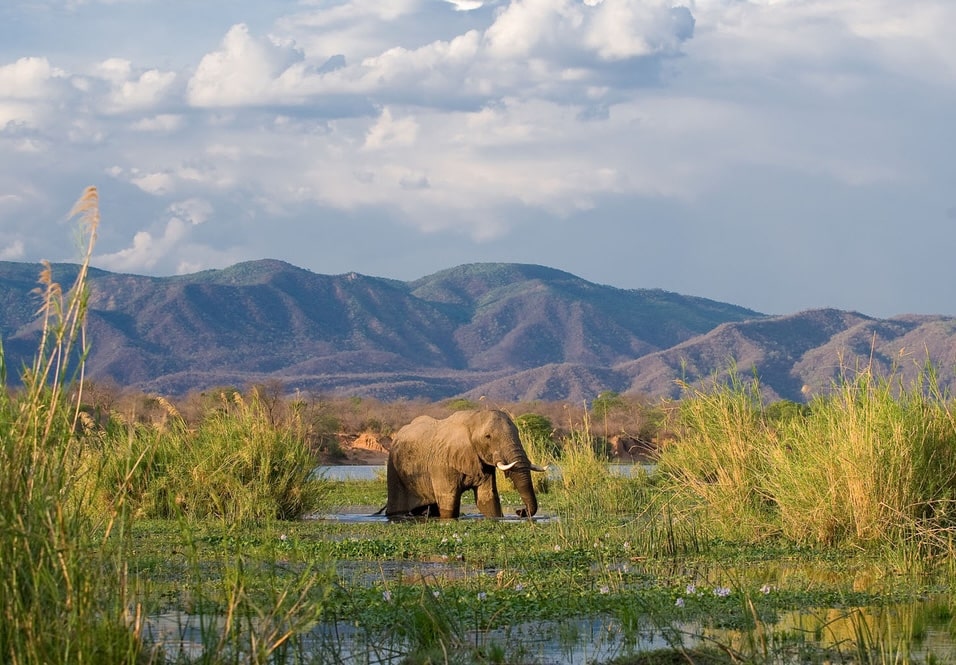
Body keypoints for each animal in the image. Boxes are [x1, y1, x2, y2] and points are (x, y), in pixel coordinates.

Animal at [385, 409, 546, 519]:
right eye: (488, 437)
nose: (520, 511)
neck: (472, 418)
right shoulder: (441, 463)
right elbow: (449, 501)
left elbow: (487, 499)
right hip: (394, 470)